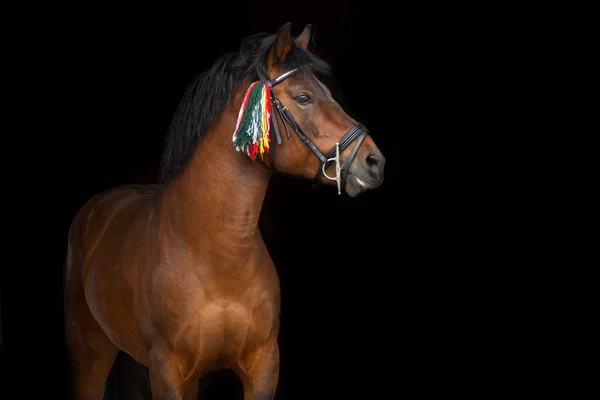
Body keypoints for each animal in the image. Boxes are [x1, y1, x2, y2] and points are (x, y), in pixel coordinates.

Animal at [64, 22, 384, 400]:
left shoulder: (263, 367)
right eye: (304, 97)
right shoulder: (166, 370)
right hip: (89, 353)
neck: (220, 253)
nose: (375, 162)